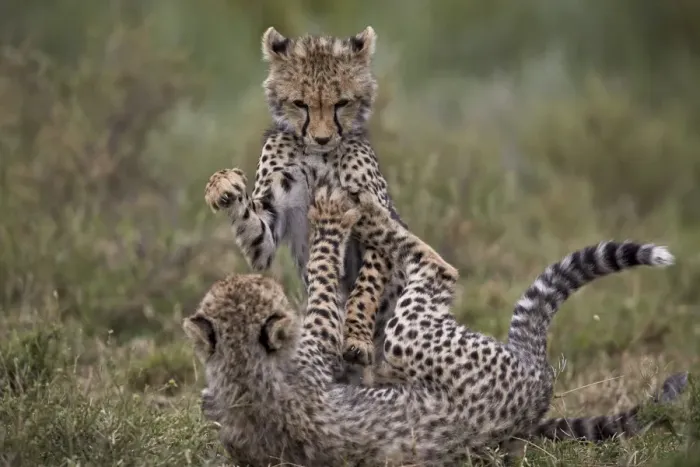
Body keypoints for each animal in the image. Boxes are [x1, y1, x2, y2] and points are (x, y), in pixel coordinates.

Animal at [185, 186, 682, 466]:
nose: (261, 281)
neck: (242, 370)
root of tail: (537, 385)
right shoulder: (317, 352)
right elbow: (324, 289)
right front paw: (328, 220)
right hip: (408, 335)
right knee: (442, 270)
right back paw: (362, 210)